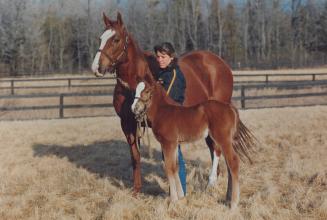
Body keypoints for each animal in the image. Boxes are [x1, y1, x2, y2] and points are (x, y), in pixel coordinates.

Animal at [92, 12, 234, 194]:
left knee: (216, 147)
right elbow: (135, 156)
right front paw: (137, 190)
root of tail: (220, 63)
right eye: (100, 38)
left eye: (116, 39)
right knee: (212, 145)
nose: (96, 67)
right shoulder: (128, 124)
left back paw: (211, 182)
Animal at [131, 80, 256, 208]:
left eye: (147, 91)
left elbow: (169, 167)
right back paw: (229, 198)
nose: (134, 108)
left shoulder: (168, 143)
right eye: (135, 90)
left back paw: (234, 203)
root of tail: (230, 107)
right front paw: (181, 197)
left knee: (233, 162)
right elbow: (175, 167)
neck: (163, 111)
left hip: (223, 139)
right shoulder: (174, 144)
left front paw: (174, 200)